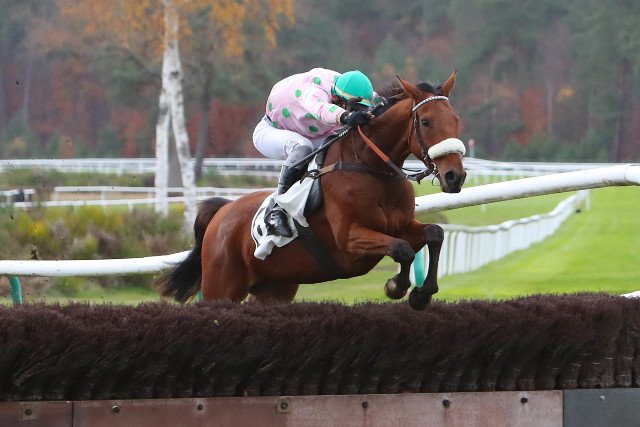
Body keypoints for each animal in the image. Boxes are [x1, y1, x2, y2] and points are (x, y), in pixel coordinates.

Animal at [155, 71, 466, 311]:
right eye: (425, 121)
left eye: (456, 120)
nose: (455, 176)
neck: (370, 167)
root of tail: (222, 213)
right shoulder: (350, 240)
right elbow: (402, 248)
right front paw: (396, 286)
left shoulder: (401, 225)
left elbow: (433, 234)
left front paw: (421, 294)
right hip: (221, 286)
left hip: (275, 288)